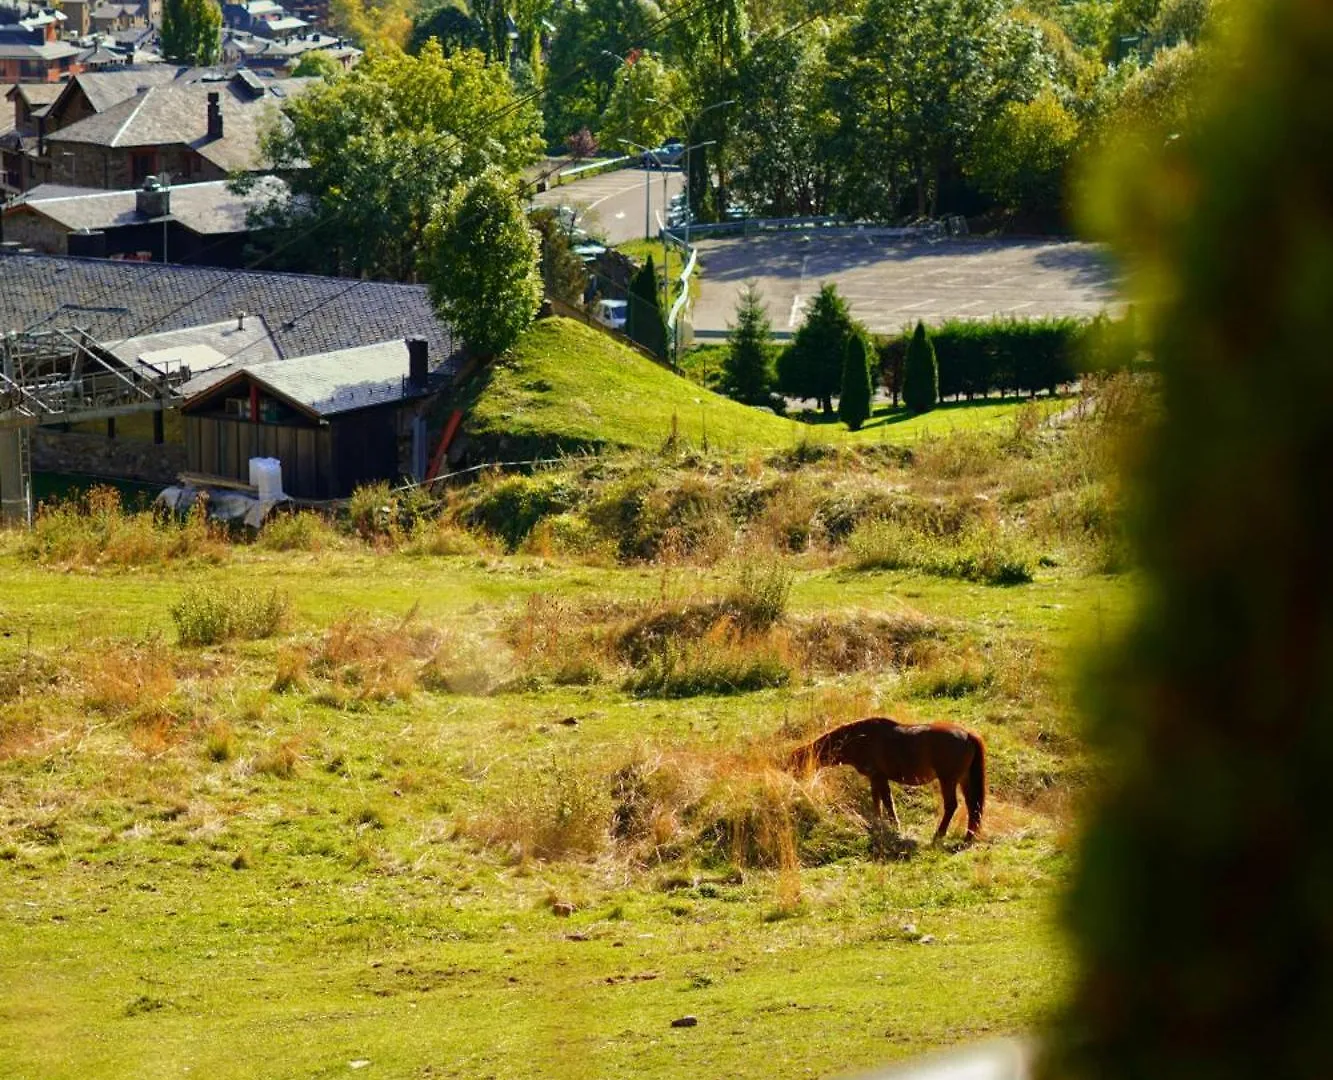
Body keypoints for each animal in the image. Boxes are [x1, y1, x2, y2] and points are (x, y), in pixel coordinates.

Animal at [783, 714, 986, 842]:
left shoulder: (878, 776)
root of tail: (968, 734)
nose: (792, 782)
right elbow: (879, 801)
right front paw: (879, 823)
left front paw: (891, 825)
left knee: (952, 805)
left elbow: (885, 802)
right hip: (964, 779)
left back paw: (939, 834)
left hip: (948, 780)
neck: (859, 739)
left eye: (796, 763)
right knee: (972, 806)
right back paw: (968, 836)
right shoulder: (876, 778)